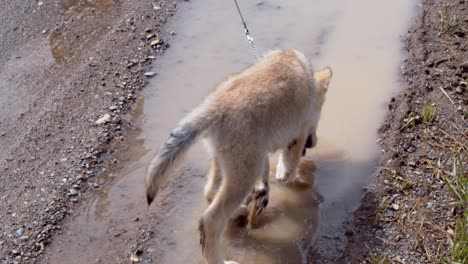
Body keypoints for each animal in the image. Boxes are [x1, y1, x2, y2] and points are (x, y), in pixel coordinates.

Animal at [144, 50, 330, 264]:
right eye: (321, 109)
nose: (313, 142)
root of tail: (214, 108)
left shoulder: (262, 151)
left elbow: (268, 178)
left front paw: (263, 195)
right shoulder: (296, 138)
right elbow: (288, 174)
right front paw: (304, 180)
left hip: (227, 162)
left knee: (210, 193)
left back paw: (240, 211)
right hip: (244, 173)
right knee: (210, 221)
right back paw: (222, 259)